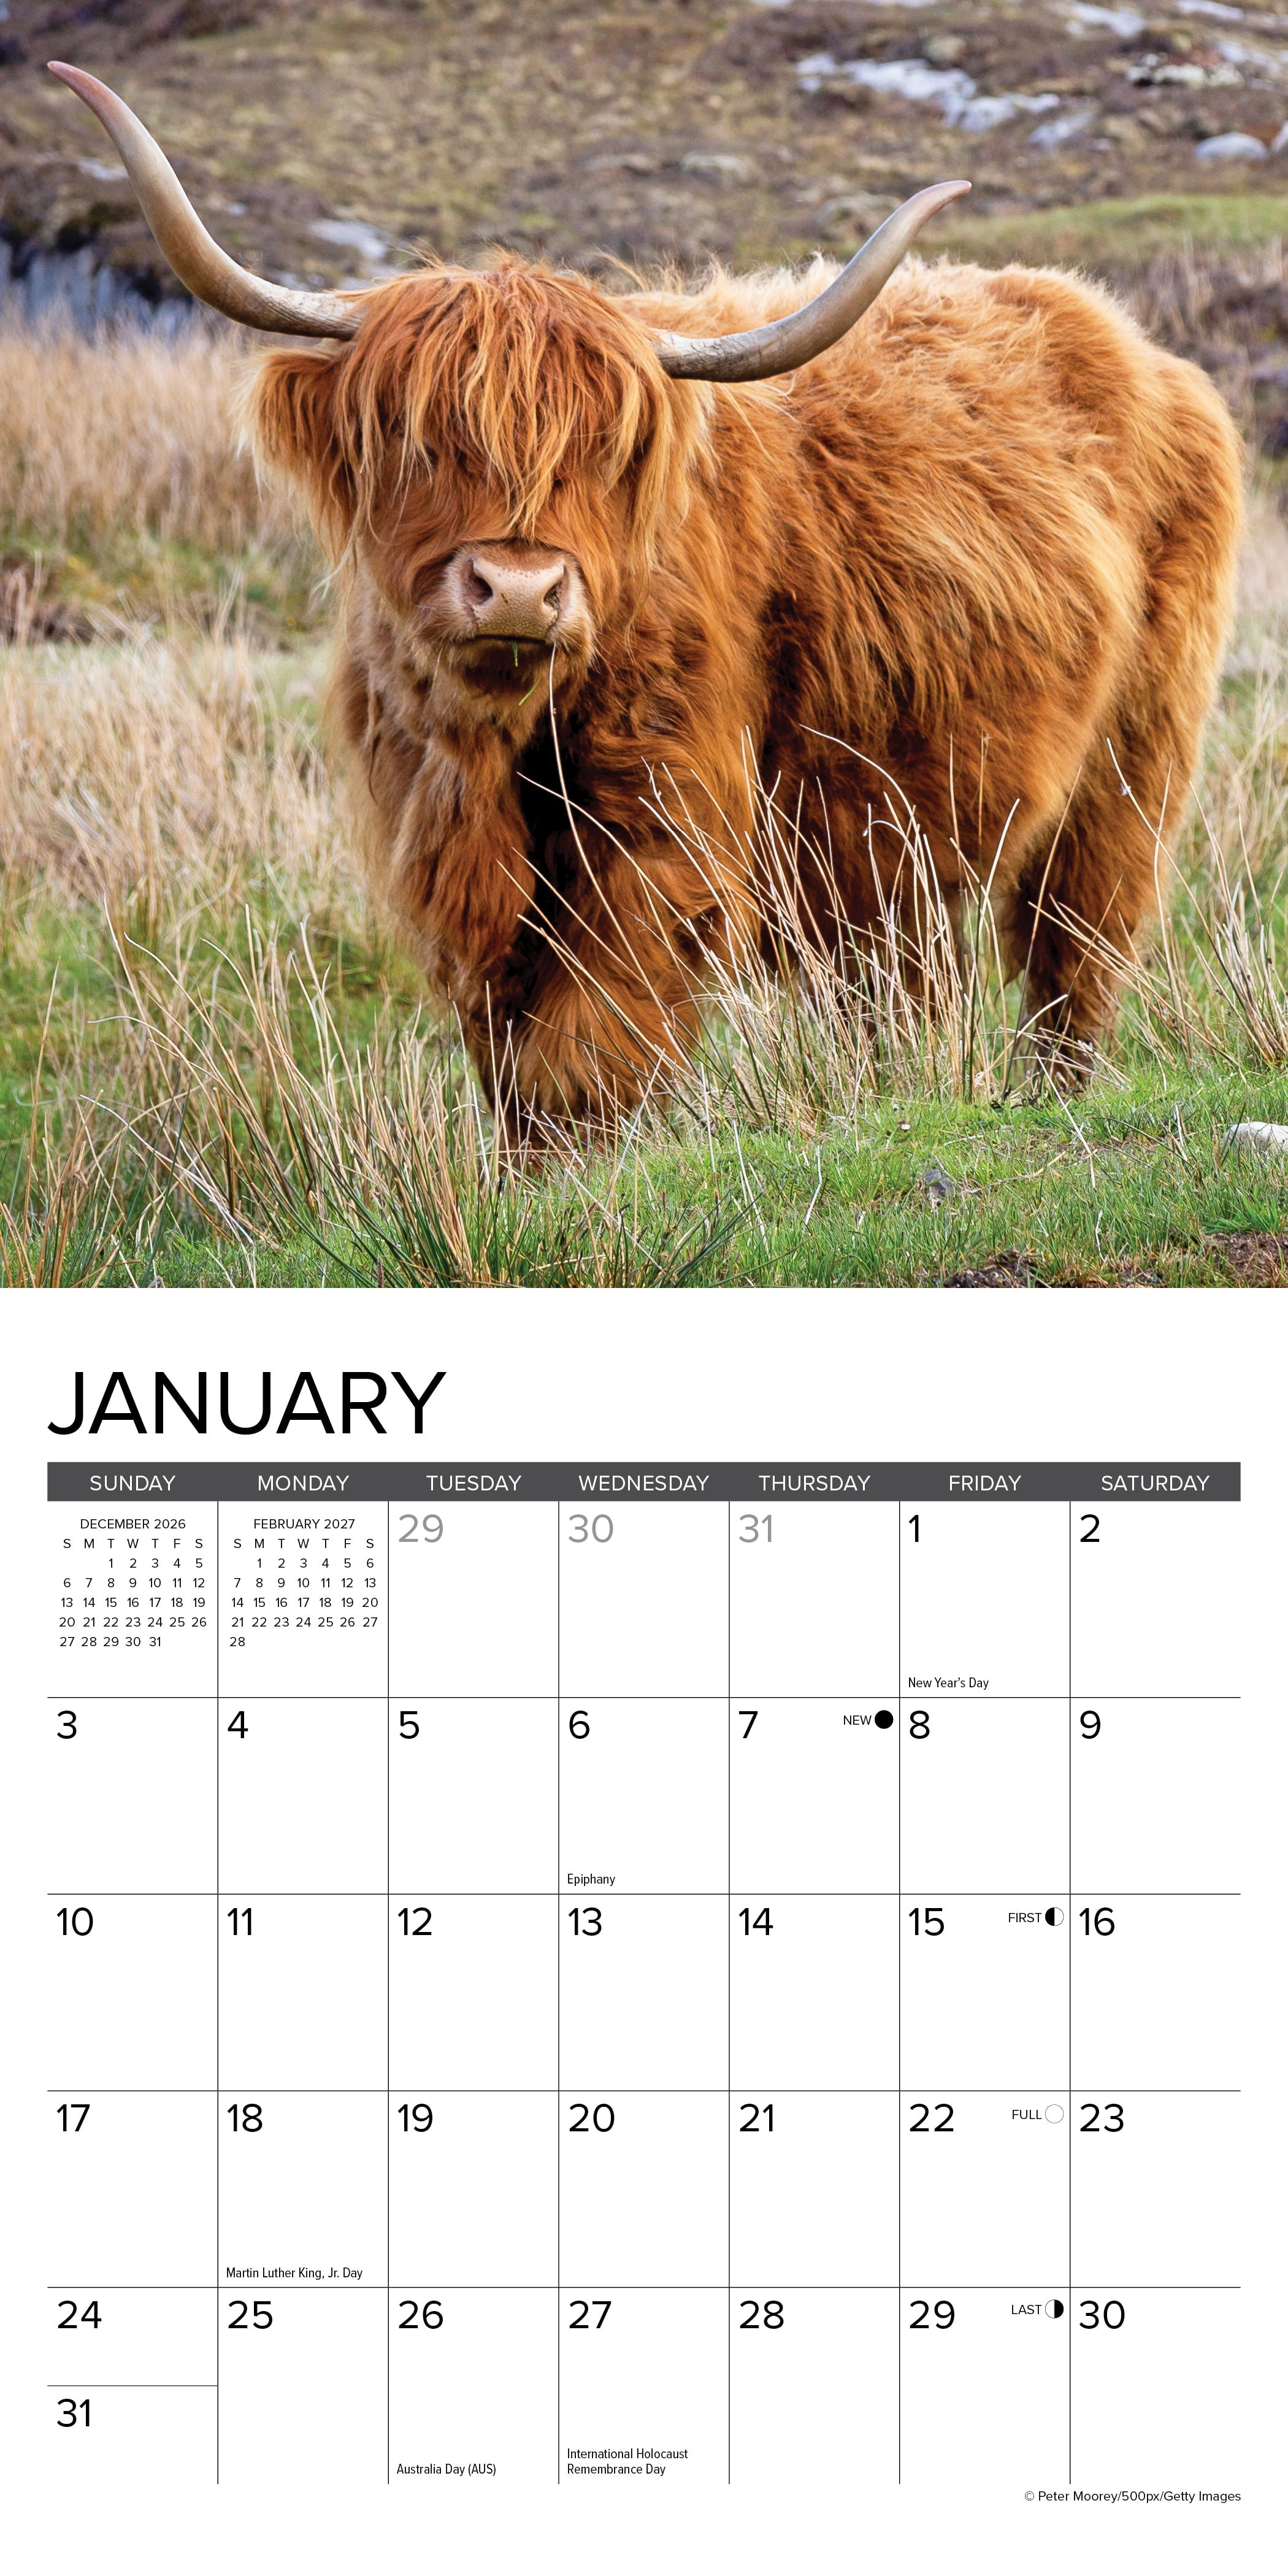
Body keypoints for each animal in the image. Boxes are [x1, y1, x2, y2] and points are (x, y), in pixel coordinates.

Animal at [52, 63, 1244, 1127]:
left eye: (604, 449)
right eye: (420, 439)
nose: (518, 589)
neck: (500, 745)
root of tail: (1140, 347)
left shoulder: (665, 813)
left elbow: (590, 1030)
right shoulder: (443, 841)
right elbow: (509, 1039)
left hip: (1130, 771)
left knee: (1073, 952)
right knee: (910, 979)